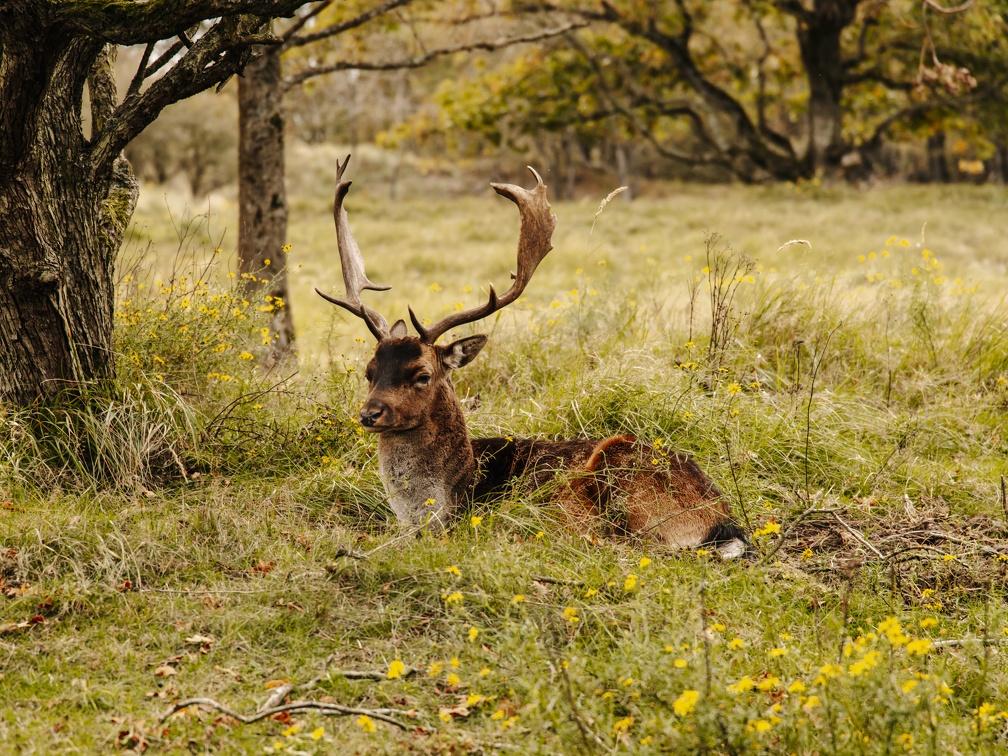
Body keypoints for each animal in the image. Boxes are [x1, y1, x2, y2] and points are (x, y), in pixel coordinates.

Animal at [314, 155, 749, 556]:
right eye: (369, 371)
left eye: (422, 374)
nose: (369, 414)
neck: (452, 495)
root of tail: (724, 520)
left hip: (623, 478)